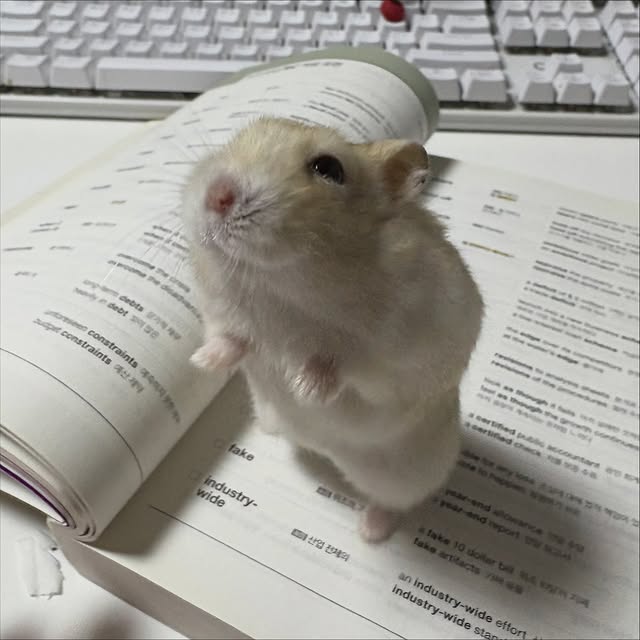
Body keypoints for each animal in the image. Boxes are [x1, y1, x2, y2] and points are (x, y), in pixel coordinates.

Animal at [181, 117, 483, 542]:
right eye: (237, 138)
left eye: (329, 168)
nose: (217, 196)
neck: (277, 280)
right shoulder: (223, 314)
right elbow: (233, 340)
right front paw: (201, 361)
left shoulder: (410, 343)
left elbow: (346, 363)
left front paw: (304, 388)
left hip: (408, 472)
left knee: (397, 502)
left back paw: (369, 531)